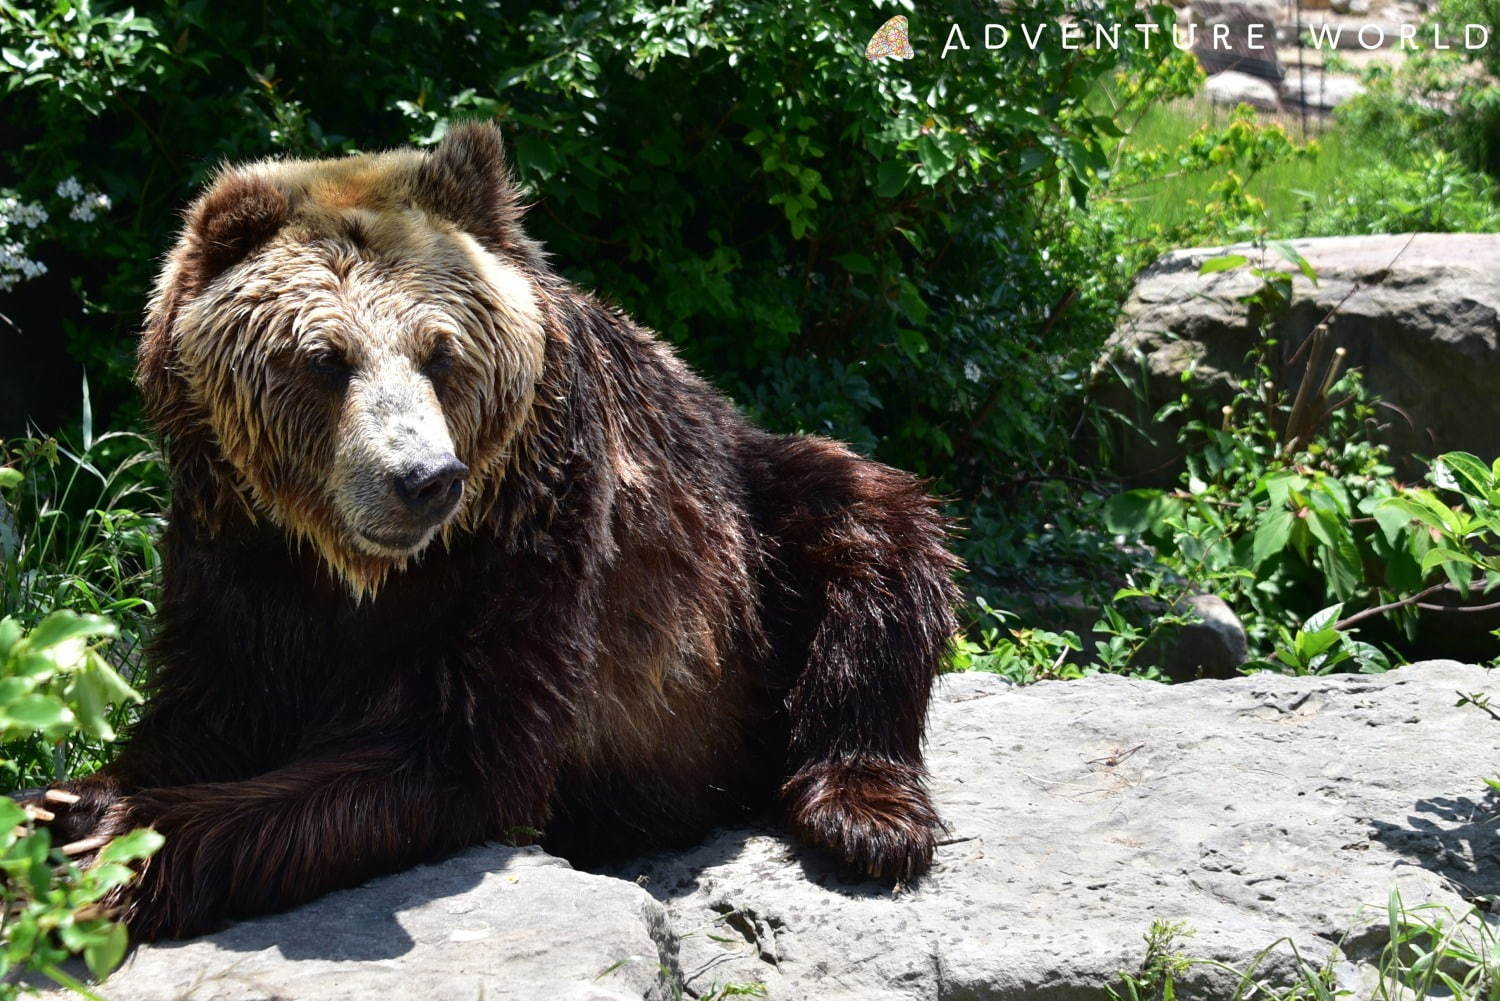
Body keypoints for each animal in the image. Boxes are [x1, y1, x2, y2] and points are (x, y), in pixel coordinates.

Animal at [26, 121, 960, 942]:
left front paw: (116, 855)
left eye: (441, 352)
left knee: (875, 540)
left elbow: (454, 754)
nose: (425, 479)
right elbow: (207, 710)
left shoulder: (527, 544)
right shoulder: (232, 548)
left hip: (756, 533)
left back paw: (865, 816)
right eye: (325, 358)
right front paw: (71, 804)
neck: (350, 567)